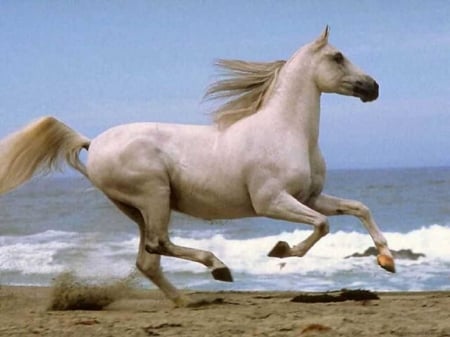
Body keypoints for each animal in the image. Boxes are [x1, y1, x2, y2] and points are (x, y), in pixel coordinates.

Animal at [0, 26, 394, 304]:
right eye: (338, 56)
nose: (373, 87)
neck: (286, 131)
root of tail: (93, 142)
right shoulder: (272, 201)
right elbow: (323, 225)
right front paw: (281, 250)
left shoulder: (309, 197)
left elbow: (359, 208)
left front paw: (387, 260)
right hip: (154, 196)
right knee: (159, 244)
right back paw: (218, 268)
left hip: (136, 208)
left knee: (147, 260)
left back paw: (185, 300)